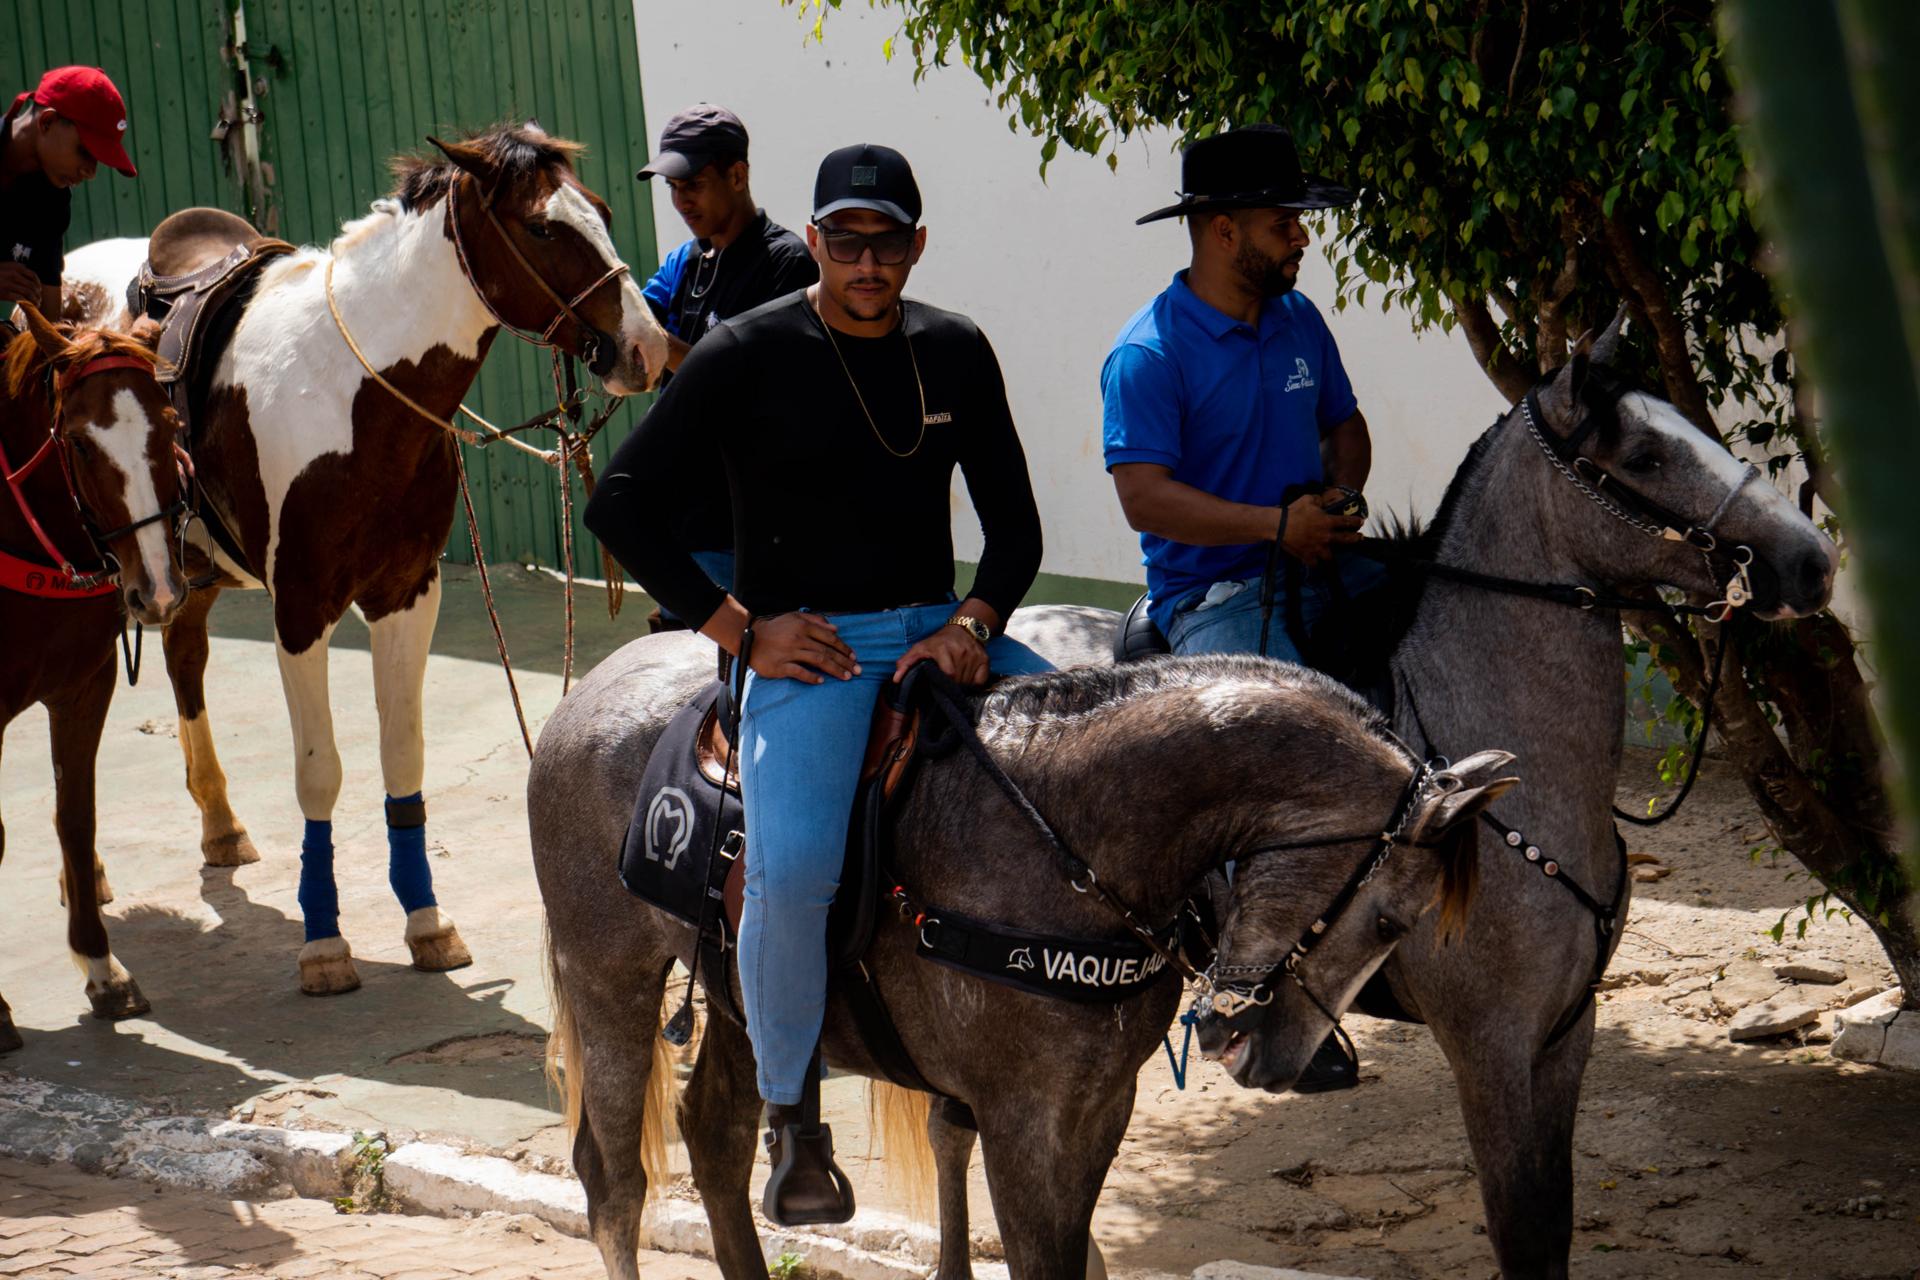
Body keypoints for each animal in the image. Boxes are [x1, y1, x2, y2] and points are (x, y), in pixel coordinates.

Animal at [0, 306, 189, 1052]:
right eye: (79, 444)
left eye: (171, 425)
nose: (158, 591)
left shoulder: (85, 685)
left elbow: (75, 820)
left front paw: (103, 969)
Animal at [62, 123, 669, 995]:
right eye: (543, 228)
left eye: (603, 212)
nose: (647, 347)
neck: (355, 389)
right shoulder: (301, 607)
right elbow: (320, 770)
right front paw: (324, 942)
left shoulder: (406, 594)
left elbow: (401, 755)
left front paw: (426, 919)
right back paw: (92, 880)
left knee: (184, 656)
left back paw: (220, 823)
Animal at [531, 640, 1517, 1280]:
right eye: (1390, 920)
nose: (1267, 1053)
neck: (1074, 838)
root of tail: (592, 687)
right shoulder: (1022, 1123)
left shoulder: (1098, 1108)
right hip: (606, 974)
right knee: (614, 1181)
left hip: (736, 979)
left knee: (718, 1134)